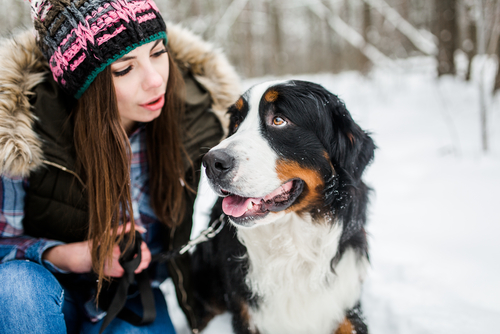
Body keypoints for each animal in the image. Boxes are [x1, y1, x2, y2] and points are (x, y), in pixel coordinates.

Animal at [193, 80, 374, 334]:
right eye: (236, 122)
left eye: (279, 120)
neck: (291, 243)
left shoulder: (346, 303)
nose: (211, 162)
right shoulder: (247, 314)